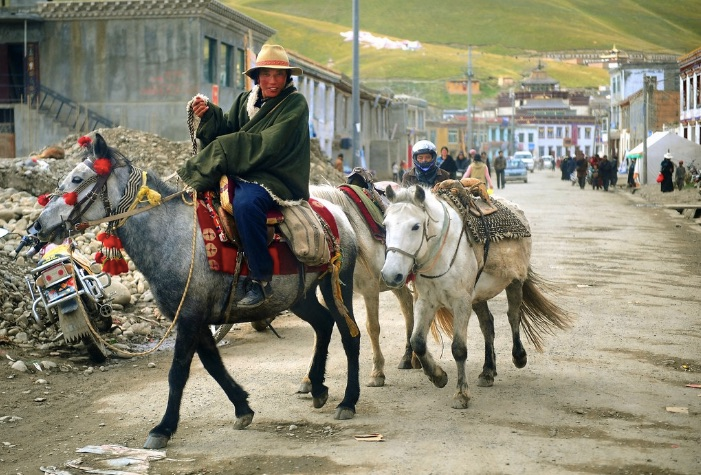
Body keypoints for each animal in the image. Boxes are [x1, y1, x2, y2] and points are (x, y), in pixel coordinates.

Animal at [30, 134, 360, 450]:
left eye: (76, 179)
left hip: (338, 282)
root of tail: (337, 213)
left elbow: (178, 372)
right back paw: (318, 388)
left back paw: (348, 400)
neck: (170, 235)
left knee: (349, 334)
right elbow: (212, 363)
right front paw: (242, 408)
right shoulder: (195, 317)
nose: (38, 227)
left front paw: (162, 429)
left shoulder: (189, 316)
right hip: (299, 296)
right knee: (323, 324)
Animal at [380, 186, 572, 410]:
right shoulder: (426, 301)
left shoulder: (462, 303)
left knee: (513, 316)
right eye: (385, 225)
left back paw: (519, 357)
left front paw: (461, 394)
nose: (391, 275)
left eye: (415, 226)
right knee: (487, 325)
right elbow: (417, 342)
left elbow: (459, 349)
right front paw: (438, 377)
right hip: (479, 296)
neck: (441, 252)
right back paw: (488, 371)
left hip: (515, 281)